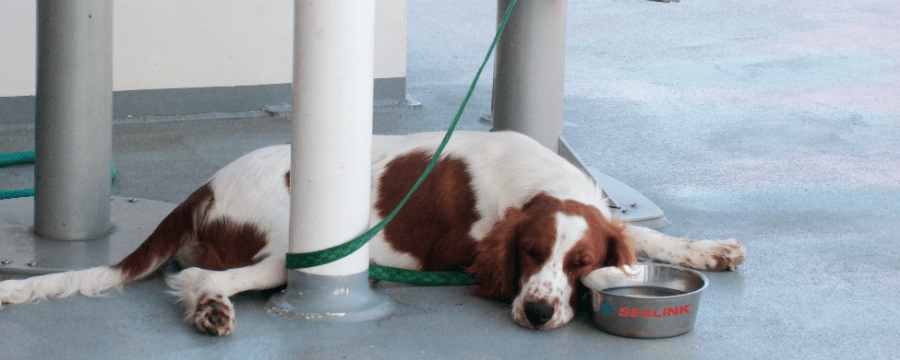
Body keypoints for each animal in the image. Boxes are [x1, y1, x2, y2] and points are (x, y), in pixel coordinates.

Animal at [0, 131, 744, 336]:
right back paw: (211, 309)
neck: (536, 180)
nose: (536, 313)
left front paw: (709, 248)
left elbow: (643, 243)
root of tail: (202, 190)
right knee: (197, 277)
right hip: (298, 249)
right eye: (531, 254)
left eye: (578, 261)